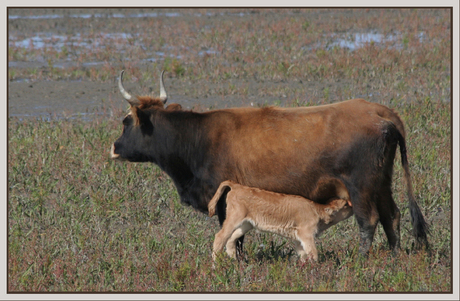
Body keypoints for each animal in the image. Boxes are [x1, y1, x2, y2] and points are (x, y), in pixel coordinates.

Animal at [208, 180, 352, 260]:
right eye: (345, 204)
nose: (352, 206)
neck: (316, 210)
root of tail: (236, 186)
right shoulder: (306, 235)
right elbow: (313, 254)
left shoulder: (298, 239)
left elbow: (303, 255)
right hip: (233, 219)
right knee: (220, 237)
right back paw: (217, 265)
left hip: (246, 224)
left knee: (231, 239)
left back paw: (235, 263)